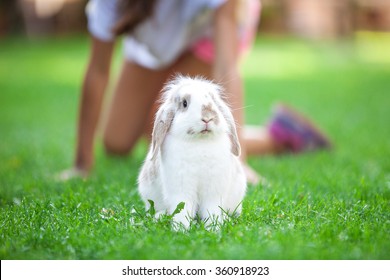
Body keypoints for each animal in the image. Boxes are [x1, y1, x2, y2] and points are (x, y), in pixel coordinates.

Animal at [139, 75, 245, 230]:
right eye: (184, 103)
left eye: (212, 100)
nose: (207, 117)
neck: (200, 143)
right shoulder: (181, 190)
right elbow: (182, 209)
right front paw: (180, 229)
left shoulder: (213, 191)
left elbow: (212, 210)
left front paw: (214, 228)